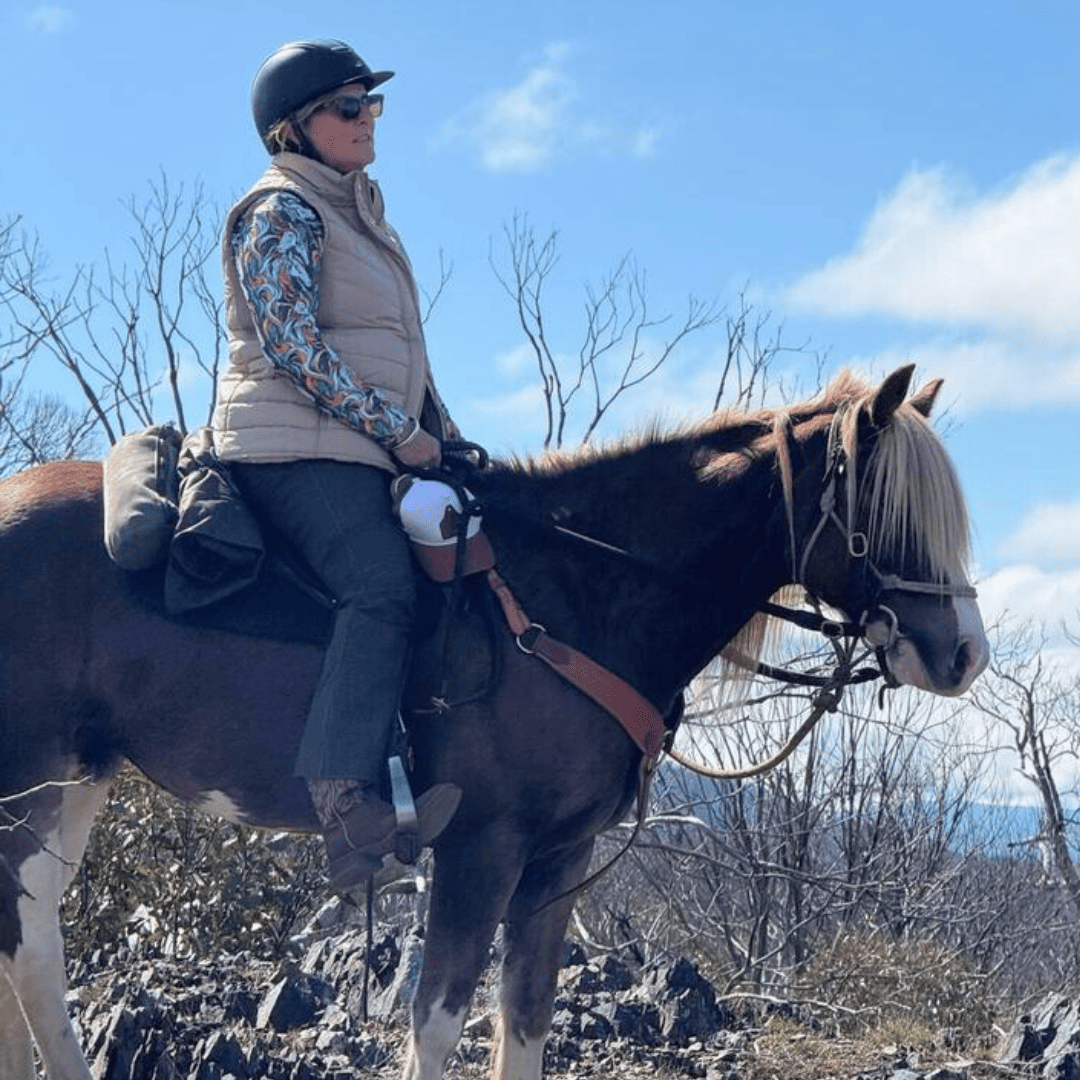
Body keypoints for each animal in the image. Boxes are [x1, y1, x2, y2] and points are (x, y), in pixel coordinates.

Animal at [0, 365, 989, 1080]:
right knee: (33, 950)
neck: (577, 592)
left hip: (76, 780)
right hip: (28, 782)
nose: (964, 655)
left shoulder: (559, 859)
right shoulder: (482, 847)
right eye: (886, 511)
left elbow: (526, 1021)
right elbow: (438, 1025)